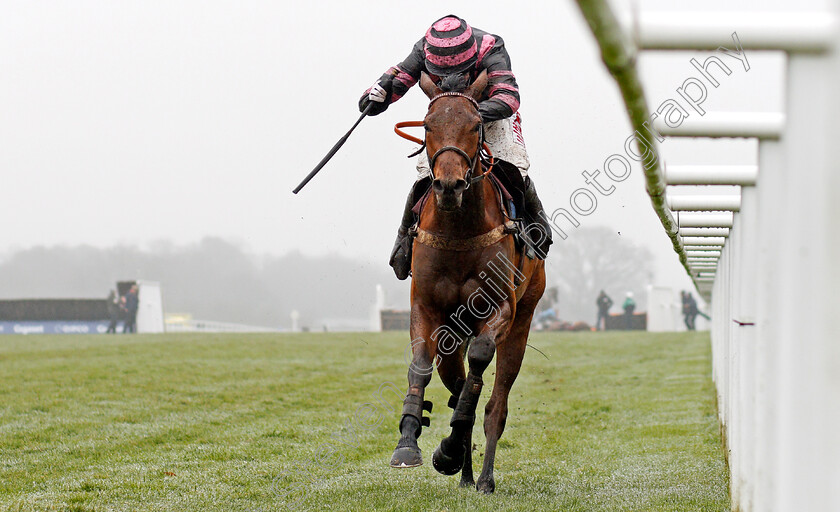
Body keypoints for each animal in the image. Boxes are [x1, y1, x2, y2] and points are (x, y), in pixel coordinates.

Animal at [390, 70, 548, 494]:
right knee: (455, 381)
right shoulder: (426, 308)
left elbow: (479, 365)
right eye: (428, 125)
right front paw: (410, 442)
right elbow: (420, 366)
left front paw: (448, 450)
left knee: (496, 404)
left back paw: (484, 477)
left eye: (476, 125)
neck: (459, 229)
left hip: (523, 321)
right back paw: (463, 471)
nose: (449, 186)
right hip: (452, 334)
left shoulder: (501, 308)